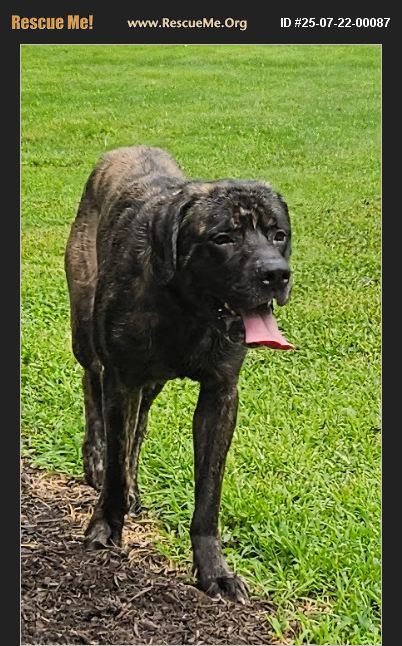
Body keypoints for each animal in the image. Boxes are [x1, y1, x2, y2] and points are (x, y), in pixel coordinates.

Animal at [65, 146, 293, 602]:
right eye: (222, 238)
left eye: (278, 234)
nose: (276, 274)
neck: (186, 311)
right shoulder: (121, 379)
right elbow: (114, 463)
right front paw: (105, 528)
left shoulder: (220, 395)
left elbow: (208, 494)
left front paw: (214, 571)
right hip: (86, 332)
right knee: (92, 386)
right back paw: (95, 459)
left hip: (149, 382)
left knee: (137, 429)